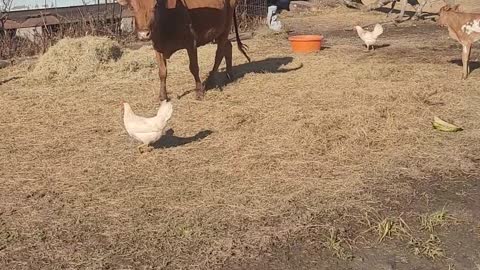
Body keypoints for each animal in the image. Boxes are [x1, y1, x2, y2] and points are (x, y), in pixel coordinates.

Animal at [118, 0, 251, 100]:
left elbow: (194, 68)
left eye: (155, 6)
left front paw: (199, 92)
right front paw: (163, 96)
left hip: (226, 27)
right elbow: (162, 72)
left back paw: (209, 81)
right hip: (217, 32)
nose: (144, 34)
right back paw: (229, 74)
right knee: (227, 47)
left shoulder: (191, 43)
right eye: (132, 6)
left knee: (218, 54)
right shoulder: (157, 47)